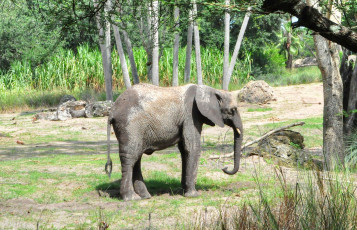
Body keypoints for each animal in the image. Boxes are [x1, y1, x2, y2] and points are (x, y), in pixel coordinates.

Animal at [103, 83, 242, 200]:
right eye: (233, 110)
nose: (224, 168)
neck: (210, 90)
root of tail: (112, 111)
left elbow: (184, 149)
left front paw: (183, 190)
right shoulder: (191, 115)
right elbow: (192, 147)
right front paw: (193, 195)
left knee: (136, 158)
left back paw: (145, 196)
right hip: (130, 126)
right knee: (130, 157)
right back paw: (131, 198)